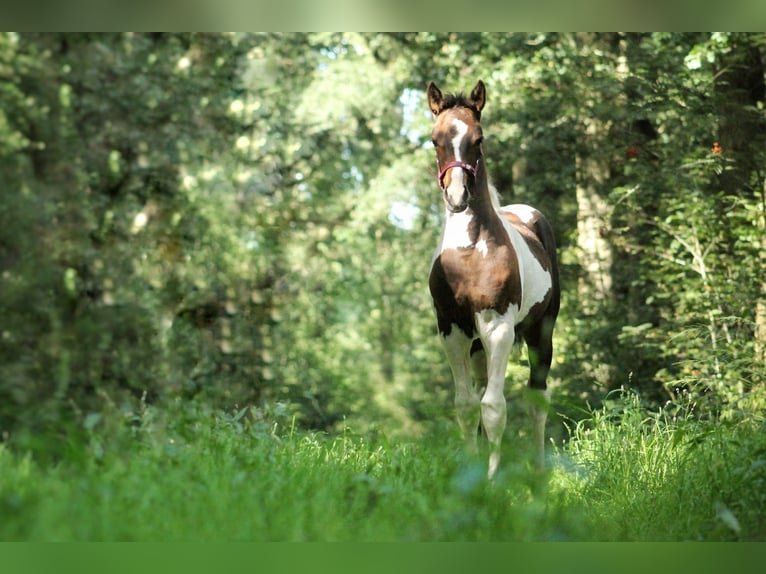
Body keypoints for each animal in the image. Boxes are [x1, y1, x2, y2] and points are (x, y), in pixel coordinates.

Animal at [428, 79, 560, 480]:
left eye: (479, 138)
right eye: (435, 140)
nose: (457, 197)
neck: (470, 251)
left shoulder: (499, 328)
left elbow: (494, 407)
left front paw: (490, 479)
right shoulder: (451, 330)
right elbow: (467, 405)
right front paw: (473, 472)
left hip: (540, 331)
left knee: (537, 396)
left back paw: (538, 470)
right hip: (477, 346)